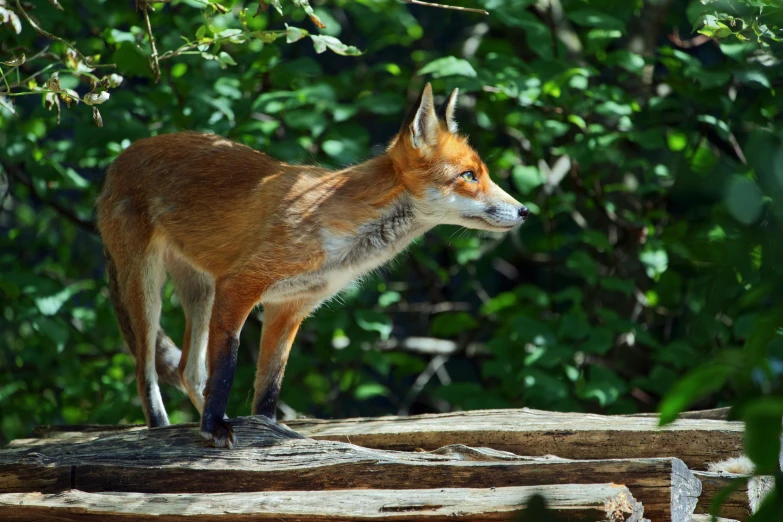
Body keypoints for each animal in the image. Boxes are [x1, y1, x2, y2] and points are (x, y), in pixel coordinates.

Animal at [95, 82, 528, 446]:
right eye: (468, 176)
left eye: (484, 173)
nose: (524, 211)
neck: (346, 235)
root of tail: (121, 157)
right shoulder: (239, 286)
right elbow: (228, 370)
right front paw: (217, 427)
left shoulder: (289, 307)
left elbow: (269, 386)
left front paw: (269, 433)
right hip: (147, 289)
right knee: (147, 371)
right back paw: (163, 428)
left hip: (199, 291)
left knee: (189, 370)